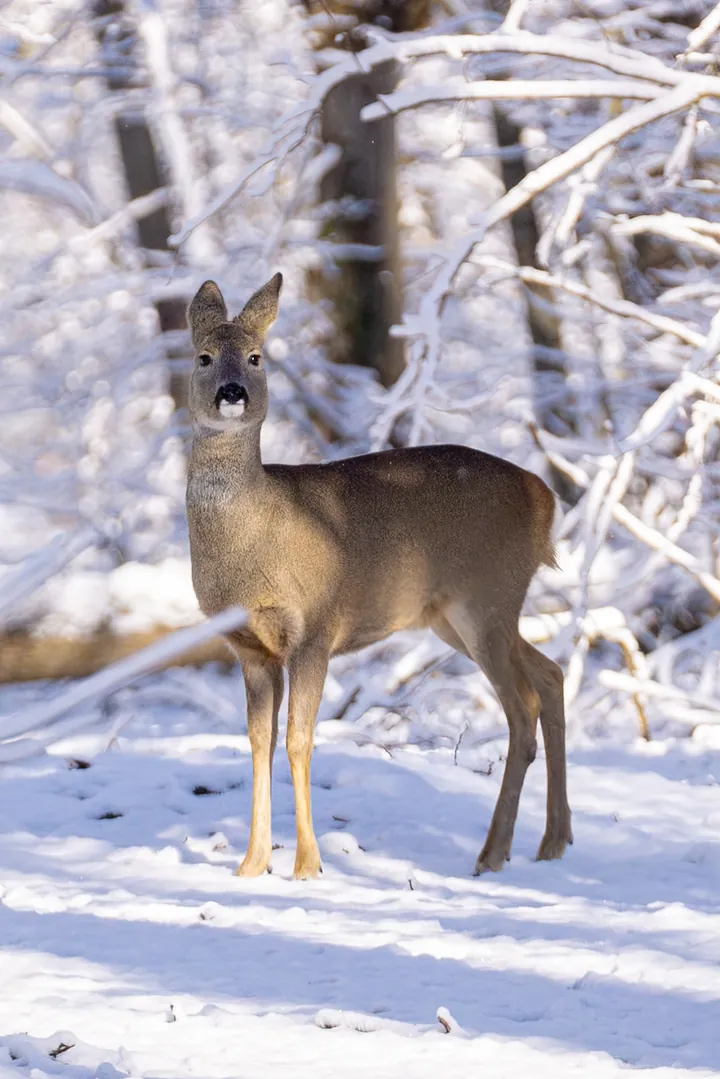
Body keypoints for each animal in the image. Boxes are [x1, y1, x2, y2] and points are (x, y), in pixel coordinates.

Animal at [185, 273, 572, 881]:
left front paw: (307, 865)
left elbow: (298, 740)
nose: (232, 392)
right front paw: (251, 864)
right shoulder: (249, 646)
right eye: (203, 356)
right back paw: (552, 841)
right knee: (551, 674)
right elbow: (257, 742)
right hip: (458, 617)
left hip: (486, 600)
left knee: (523, 705)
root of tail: (546, 500)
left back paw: (492, 854)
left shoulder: (316, 628)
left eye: (254, 356)